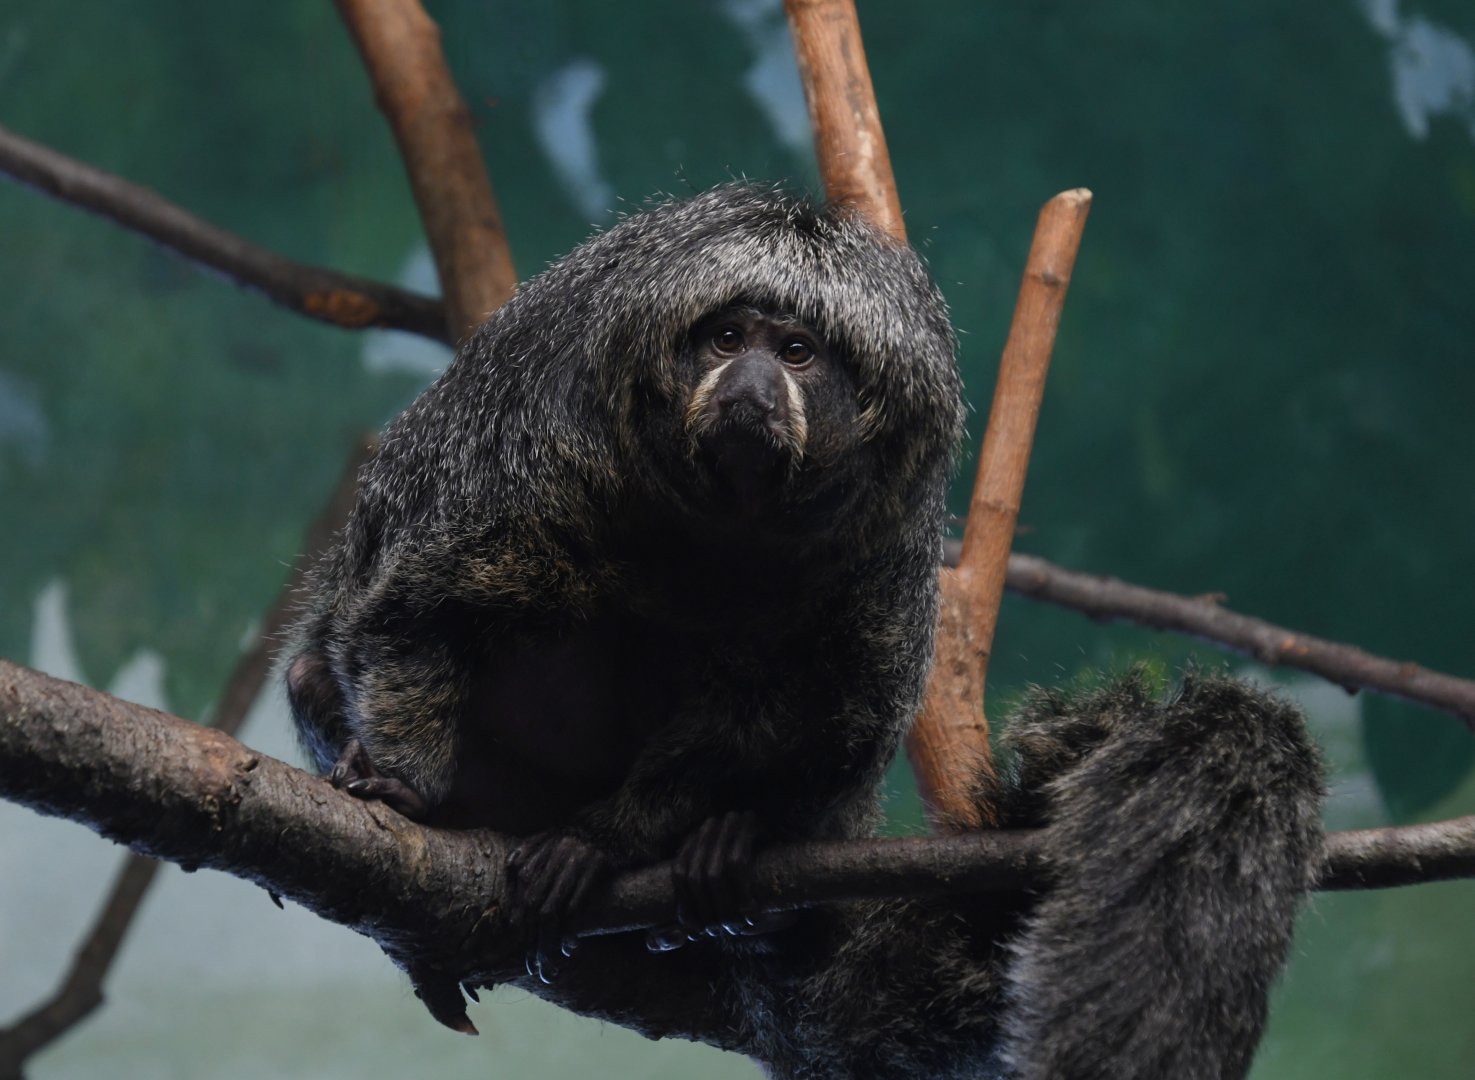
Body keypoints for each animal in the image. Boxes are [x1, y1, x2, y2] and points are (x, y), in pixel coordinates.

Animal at [283, 183, 965, 985]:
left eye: (796, 353)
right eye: (727, 339)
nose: (751, 386)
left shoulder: (885, 529)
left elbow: (798, 715)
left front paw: (608, 841)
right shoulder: (546, 436)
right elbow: (419, 604)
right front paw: (408, 786)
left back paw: (736, 858)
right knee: (314, 672)